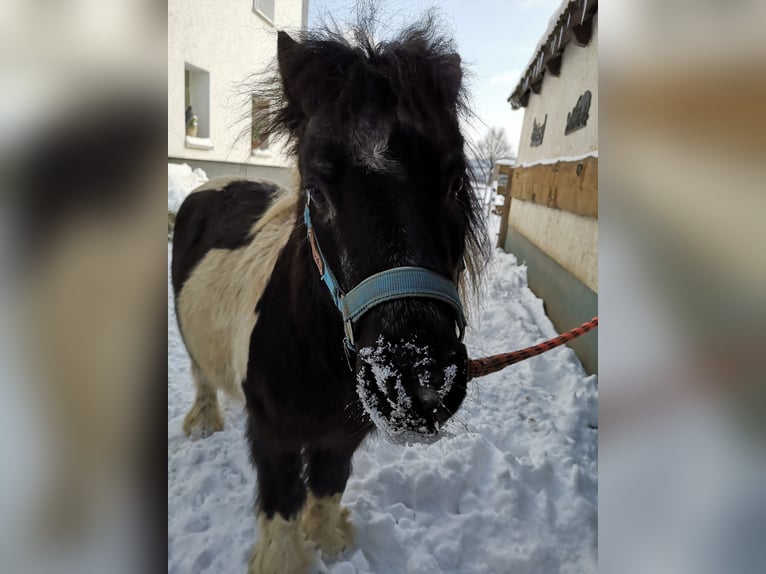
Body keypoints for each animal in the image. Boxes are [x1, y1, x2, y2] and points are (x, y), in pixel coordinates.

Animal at [172, 19, 488, 574]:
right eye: (316, 190)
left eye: (453, 182)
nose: (416, 379)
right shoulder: (273, 434)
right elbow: (282, 499)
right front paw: (282, 560)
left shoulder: (343, 434)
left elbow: (327, 483)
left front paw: (330, 541)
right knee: (201, 375)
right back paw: (204, 422)